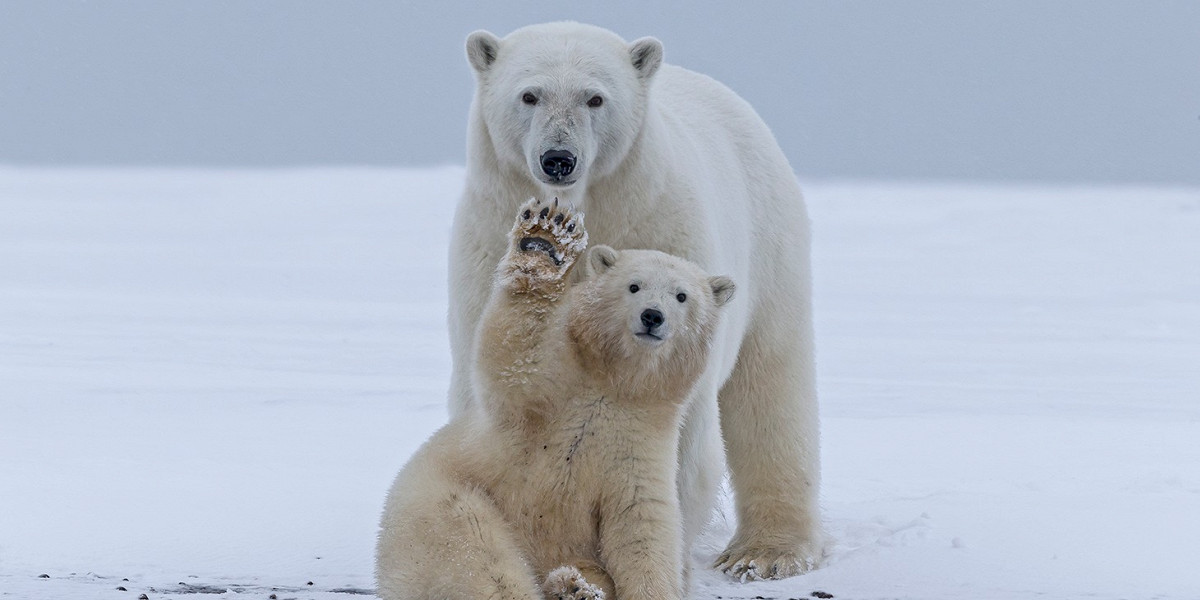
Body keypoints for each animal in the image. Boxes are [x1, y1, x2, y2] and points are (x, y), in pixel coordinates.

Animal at [451, 23, 825, 580]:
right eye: (529, 94)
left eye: (595, 97)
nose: (558, 159)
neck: (591, 206)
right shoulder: (487, 239)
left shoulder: (664, 231)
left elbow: (671, 434)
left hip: (771, 243)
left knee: (771, 386)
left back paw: (766, 552)